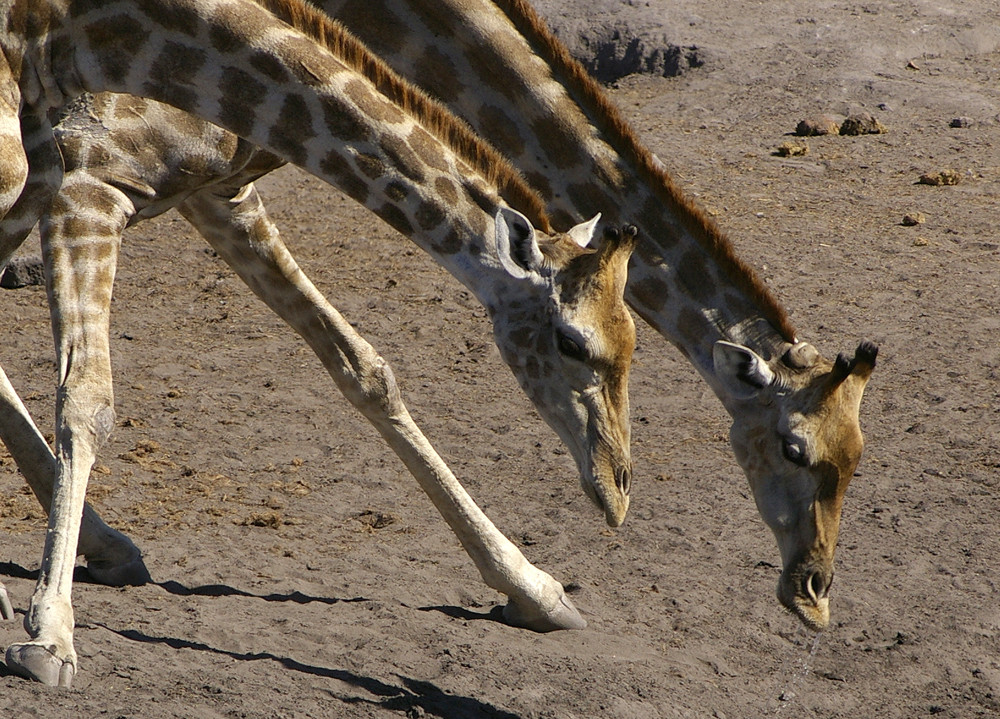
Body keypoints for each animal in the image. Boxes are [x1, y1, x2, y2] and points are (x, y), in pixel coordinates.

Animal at [0, 0, 640, 688]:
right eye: (572, 342)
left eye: (634, 343)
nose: (616, 491)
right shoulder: (83, 185)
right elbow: (88, 399)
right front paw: (50, 636)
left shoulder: (217, 195)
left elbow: (364, 368)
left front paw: (534, 589)